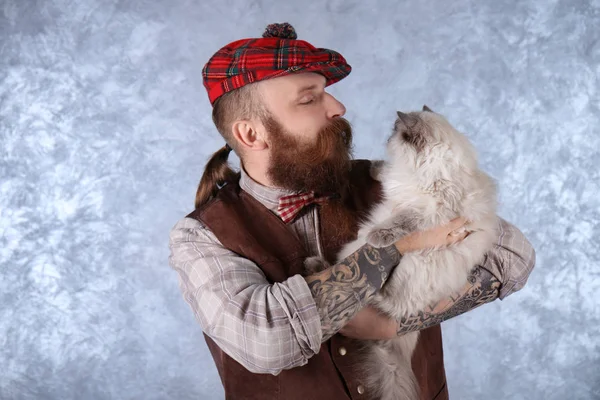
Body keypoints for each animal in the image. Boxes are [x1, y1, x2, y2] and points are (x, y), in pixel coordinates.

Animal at [304, 105, 496, 400]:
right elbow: (387, 174)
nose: (386, 140)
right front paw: (376, 167)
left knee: (373, 293)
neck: (425, 170)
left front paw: (378, 235)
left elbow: (400, 222)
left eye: (395, 133)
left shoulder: (429, 212)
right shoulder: (402, 184)